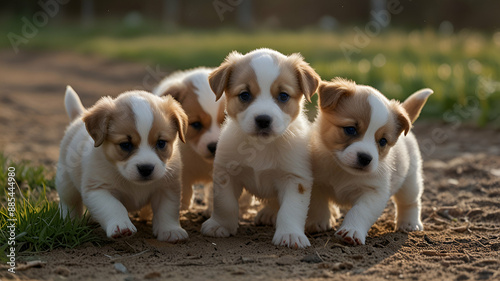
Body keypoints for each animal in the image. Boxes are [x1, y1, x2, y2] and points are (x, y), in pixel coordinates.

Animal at [56, 86, 189, 241]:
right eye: (125, 145)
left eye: (161, 143)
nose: (146, 168)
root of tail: (79, 116)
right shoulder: (98, 189)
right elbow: (113, 207)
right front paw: (121, 225)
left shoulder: (167, 188)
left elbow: (167, 210)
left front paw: (170, 230)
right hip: (66, 183)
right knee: (69, 203)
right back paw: (68, 222)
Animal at [200, 48, 320, 247]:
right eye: (245, 95)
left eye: (283, 96)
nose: (263, 120)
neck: (261, 147)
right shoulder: (226, 173)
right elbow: (225, 204)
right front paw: (220, 225)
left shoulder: (295, 179)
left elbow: (291, 210)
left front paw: (290, 234)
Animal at [306, 77, 432, 244]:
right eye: (350, 129)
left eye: (383, 141)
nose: (365, 158)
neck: (341, 171)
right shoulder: (316, 183)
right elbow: (317, 204)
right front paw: (318, 222)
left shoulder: (373, 193)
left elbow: (360, 211)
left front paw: (351, 231)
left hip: (410, 181)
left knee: (410, 202)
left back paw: (409, 223)